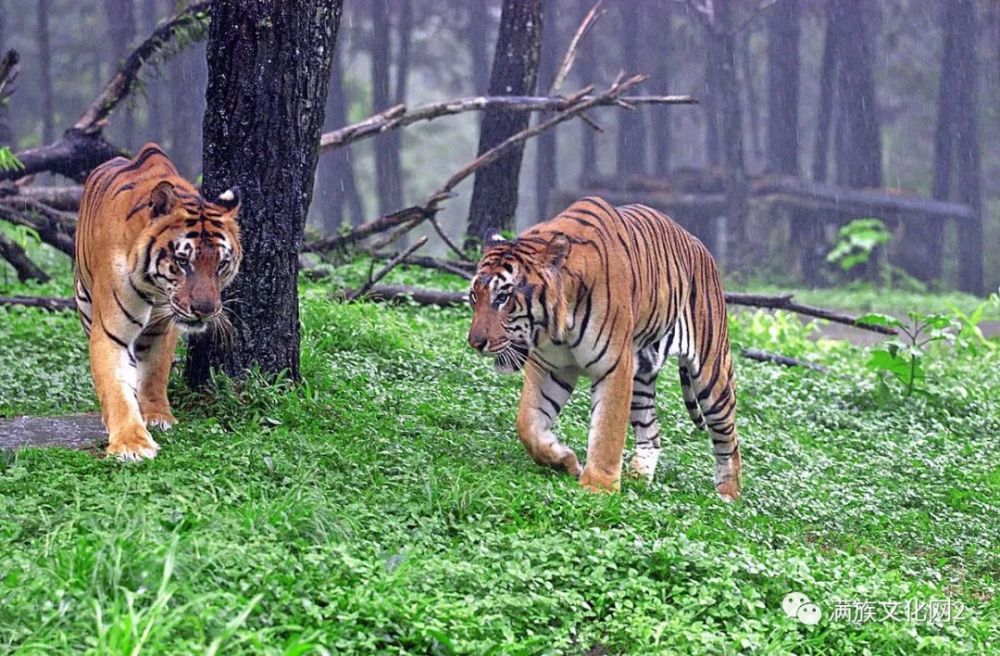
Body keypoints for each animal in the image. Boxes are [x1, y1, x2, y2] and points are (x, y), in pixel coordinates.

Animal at [74, 144, 242, 462]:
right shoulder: (110, 331)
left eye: (221, 264)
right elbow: (115, 386)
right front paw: (131, 443)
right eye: (183, 261)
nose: (205, 310)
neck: (156, 288)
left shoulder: (163, 328)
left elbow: (154, 372)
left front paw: (157, 416)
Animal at [468, 197, 744, 500]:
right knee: (652, 433)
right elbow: (528, 424)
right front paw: (564, 460)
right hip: (641, 376)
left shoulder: (613, 368)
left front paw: (598, 488)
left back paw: (727, 496)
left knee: (729, 438)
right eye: (474, 297)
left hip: (712, 374)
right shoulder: (550, 367)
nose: (475, 342)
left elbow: (607, 432)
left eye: (503, 297)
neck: (559, 326)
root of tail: (700, 244)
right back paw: (638, 478)